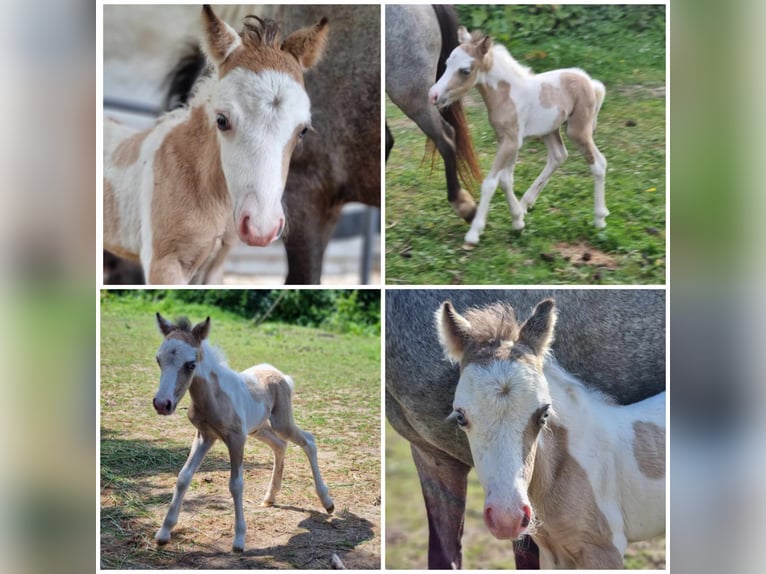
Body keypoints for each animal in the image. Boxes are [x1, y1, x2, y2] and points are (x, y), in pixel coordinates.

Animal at [152, 313, 334, 552]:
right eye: (158, 360)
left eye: (191, 364)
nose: (162, 404)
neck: (213, 397)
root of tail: (280, 375)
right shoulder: (205, 436)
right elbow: (183, 477)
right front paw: (164, 533)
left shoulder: (236, 438)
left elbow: (236, 484)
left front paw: (239, 540)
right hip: (258, 429)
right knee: (280, 446)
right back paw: (270, 497)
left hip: (281, 423)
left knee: (308, 441)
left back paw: (327, 502)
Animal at [429, 26, 608, 249]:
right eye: (446, 64)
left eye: (465, 71)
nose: (433, 95)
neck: (507, 94)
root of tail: (591, 83)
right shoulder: (508, 140)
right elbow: (506, 179)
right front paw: (517, 220)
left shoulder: (512, 141)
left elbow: (490, 182)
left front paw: (474, 233)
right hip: (549, 130)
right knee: (558, 156)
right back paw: (525, 204)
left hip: (578, 131)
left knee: (598, 164)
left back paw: (600, 219)